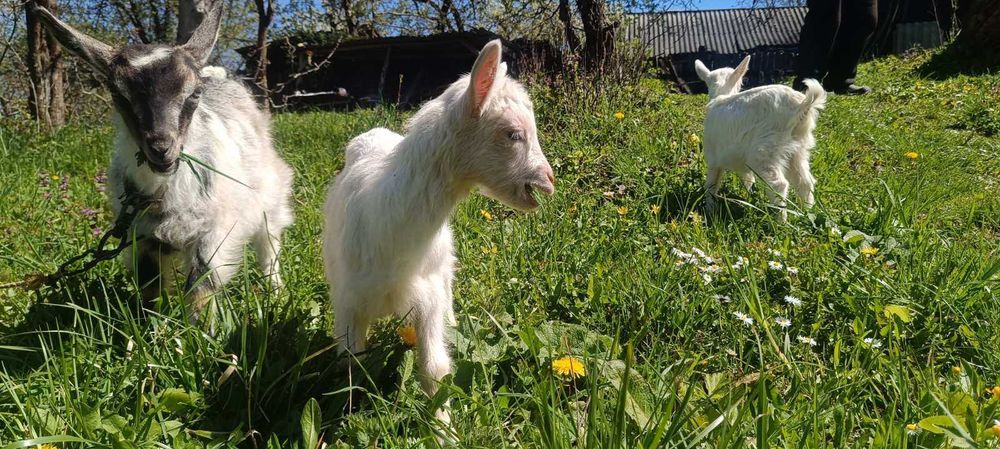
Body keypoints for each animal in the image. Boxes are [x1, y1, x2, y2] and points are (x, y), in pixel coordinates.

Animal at [35, 4, 294, 322]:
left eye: (194, 93)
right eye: (119, 95)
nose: (161, 149)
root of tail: (218, 75)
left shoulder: (213, 233)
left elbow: (200, 290)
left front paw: (201, 333)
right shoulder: (143, 237)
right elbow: (149, 288)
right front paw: (148, 328)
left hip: (271, 196)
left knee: (269, 245)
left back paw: (275, 293)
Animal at [322, 40, 555, 428]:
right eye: (513, 133)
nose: (549, 179)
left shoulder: (426, 295)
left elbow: (436, 368)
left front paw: (445, 428)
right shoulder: (347, 300)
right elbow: (351, 366)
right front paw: (349, 417)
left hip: (443, 268)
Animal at [694, 56, 826, 221]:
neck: (720, 96)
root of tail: (801, 105)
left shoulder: (713, 157)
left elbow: (711, 185)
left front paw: (709, 211)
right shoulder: (742, 164)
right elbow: (748, 179)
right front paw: (750, 198)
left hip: (765, 150)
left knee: (779, 184)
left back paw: (780, 222)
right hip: (799, 149)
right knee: (805, 182)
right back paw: (808, 214)